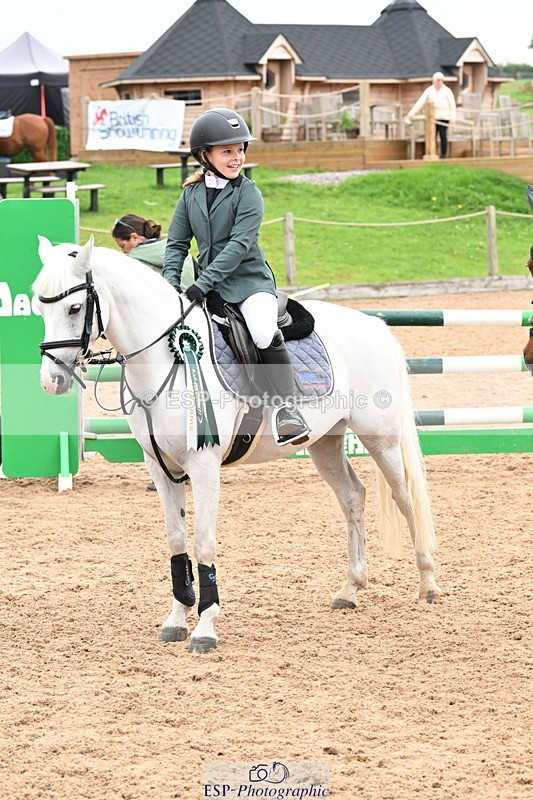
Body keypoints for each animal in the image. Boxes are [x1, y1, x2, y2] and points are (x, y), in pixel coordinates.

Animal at [33, 236, 441, 653]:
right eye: (39, 305)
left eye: (75, 307)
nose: (51, 381)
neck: (165, 357)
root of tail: (373, 324)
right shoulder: (160, 468)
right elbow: (176, 540)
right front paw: (177, 620)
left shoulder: (203, 465)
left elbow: (203, 542)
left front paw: (205, 628)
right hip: (324, 442)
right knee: (353, 497)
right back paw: (350, 589)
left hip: (381, 439)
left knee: (406, 498)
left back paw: (427, 584)